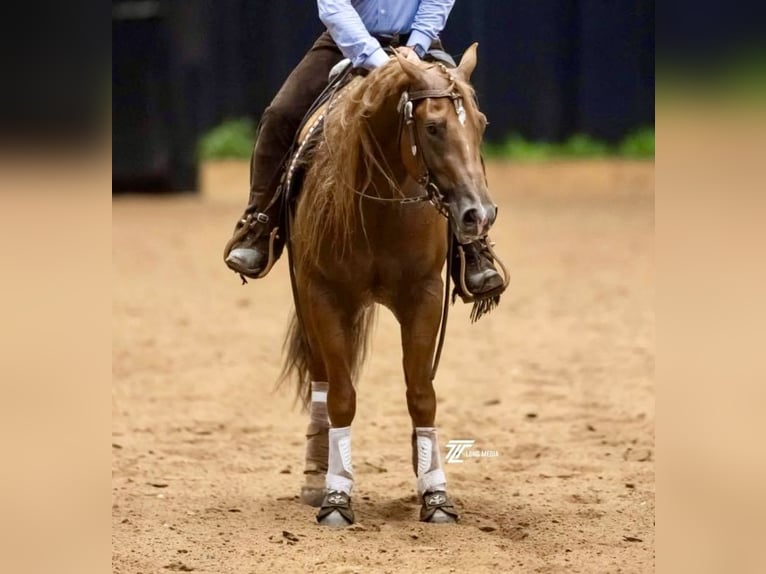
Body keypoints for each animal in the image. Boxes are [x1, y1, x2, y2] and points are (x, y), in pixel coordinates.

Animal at [280, 47, 498, 528]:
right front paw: (336, 497)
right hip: (308, 300)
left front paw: (435, 494)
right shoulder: (325, 296)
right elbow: (341, 397)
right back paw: (315, 475)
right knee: (322, 382)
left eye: (481, 123)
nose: (479, 214)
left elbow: (421, 394)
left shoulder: (425, 296)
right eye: (433, 127)